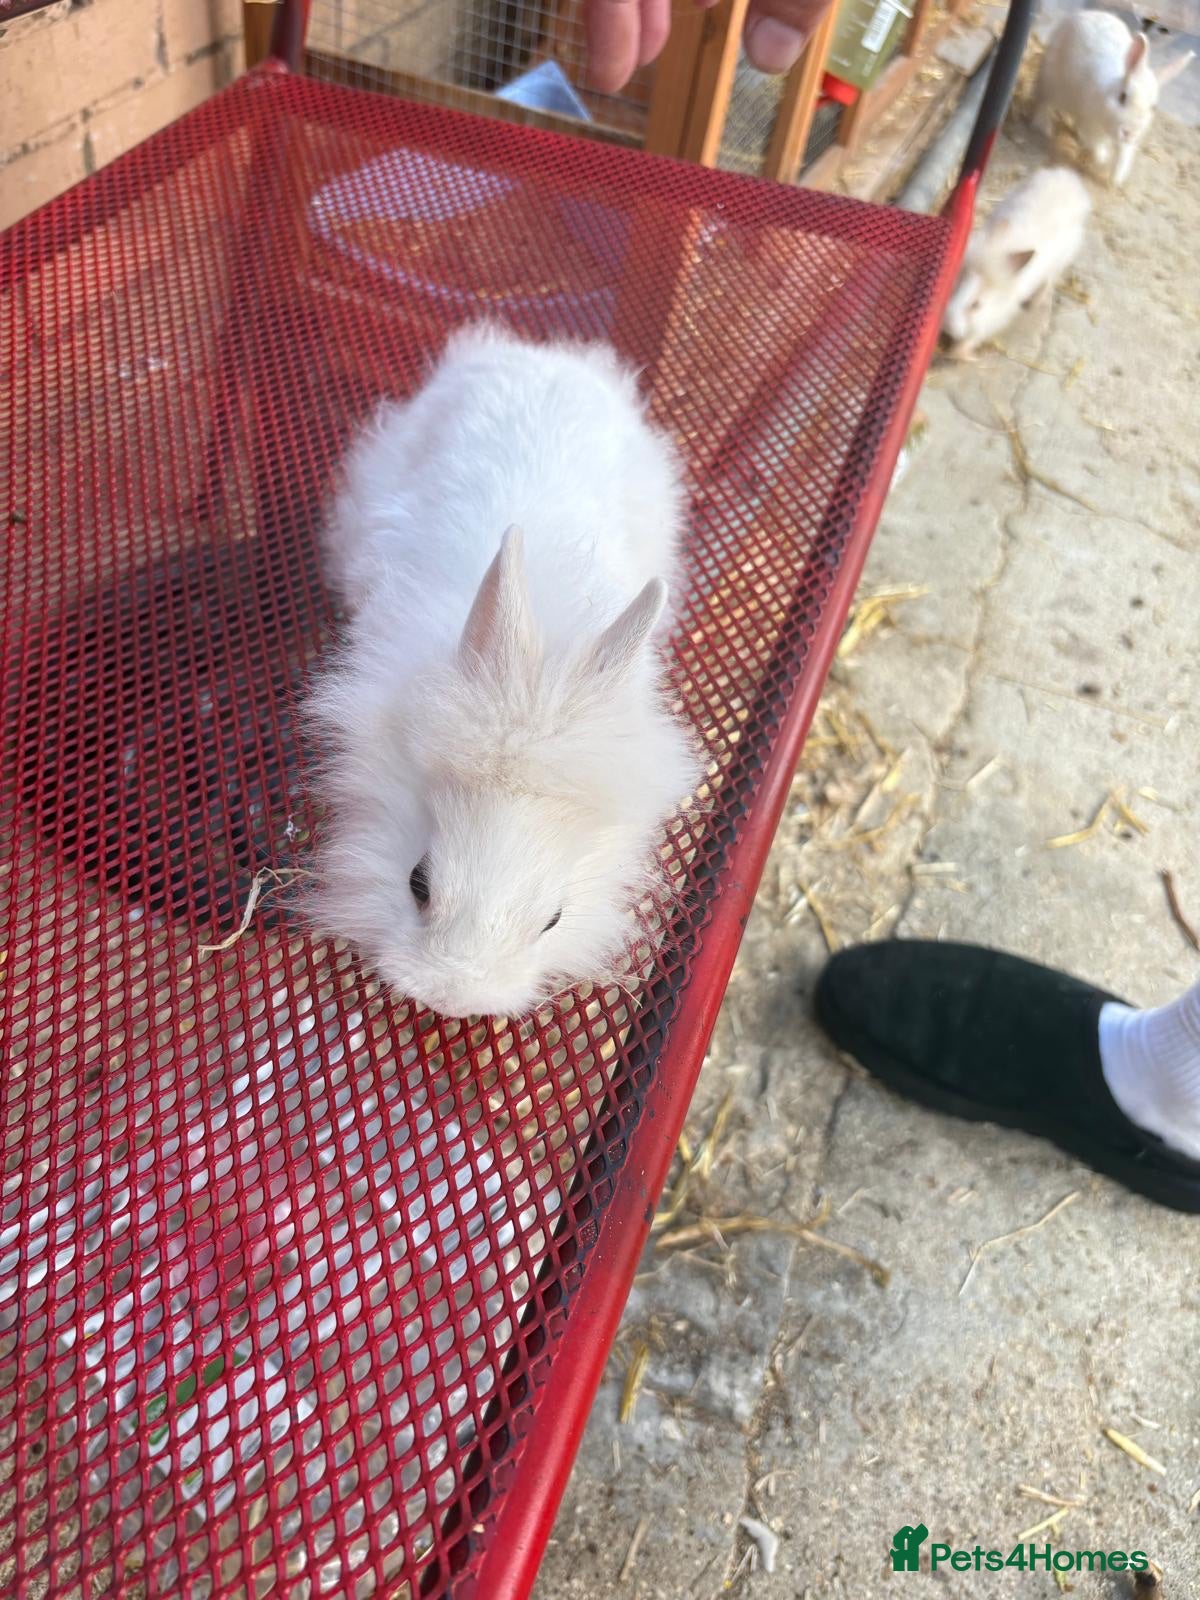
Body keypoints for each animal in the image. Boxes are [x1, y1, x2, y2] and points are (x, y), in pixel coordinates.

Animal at [941, 166, 1091, 358]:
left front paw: (963, 354)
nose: (946, 323)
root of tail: (1069, 181)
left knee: (1048, 282)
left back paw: (1035, 303)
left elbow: (972, 338)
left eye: (976, 305)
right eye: (953, 285)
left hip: (1059, 262)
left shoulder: (991, 320)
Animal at [1033, 11, 1193, 188]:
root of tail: (1082, 13)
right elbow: (1095, 143)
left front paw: (1116, 179)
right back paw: (1044, 127)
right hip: (1050, 80)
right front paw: (1102, 159)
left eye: (1153, 107)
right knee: (1043, 102)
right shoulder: (1090, 123)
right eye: (1122, 97)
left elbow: (1123, 157)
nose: (1129, 132)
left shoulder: (1125, 144)